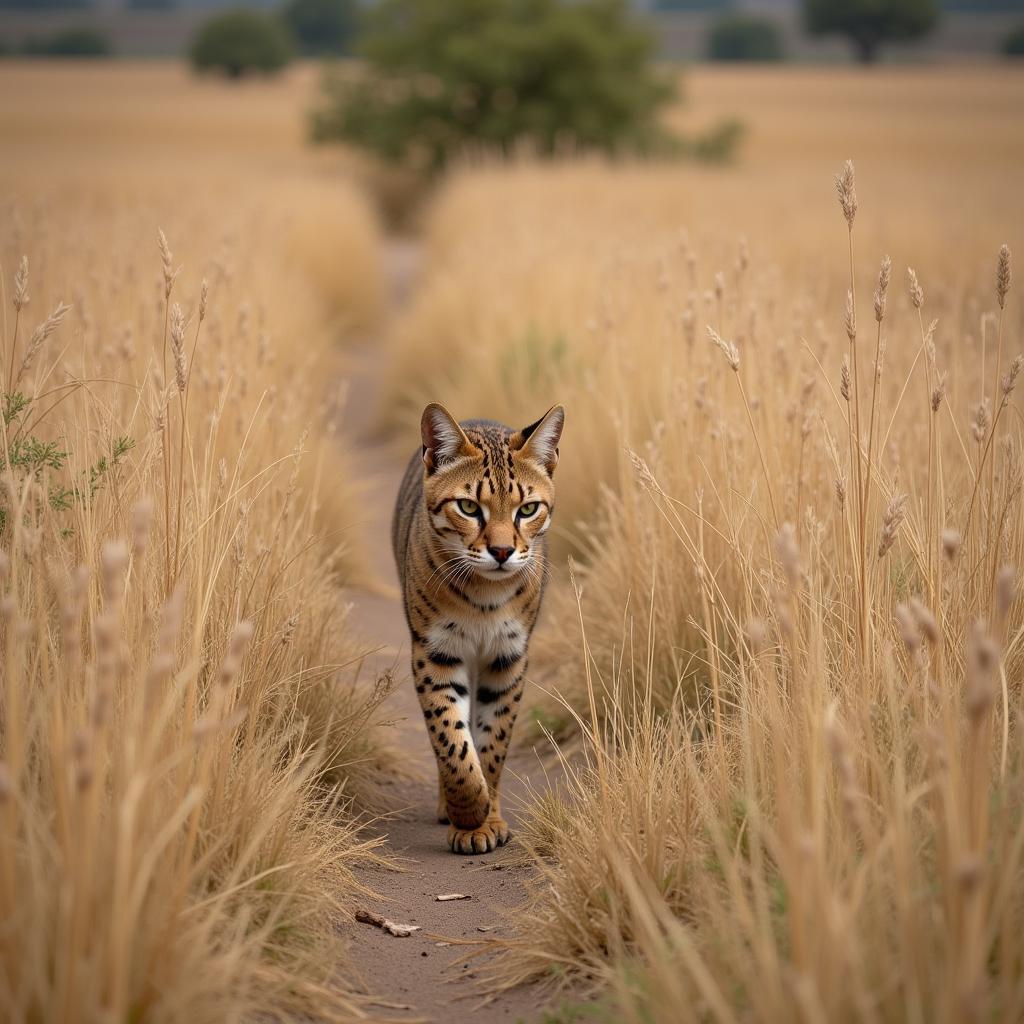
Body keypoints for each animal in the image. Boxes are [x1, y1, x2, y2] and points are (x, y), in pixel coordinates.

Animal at [391, 403, 569, 851]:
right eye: (469, 508)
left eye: (528, 510)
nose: (502, 552)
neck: (485, 596)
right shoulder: (434, 651)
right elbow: (450, 737)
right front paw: (469, 812)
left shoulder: (508, 656)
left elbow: (492, 741)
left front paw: (484, 819)